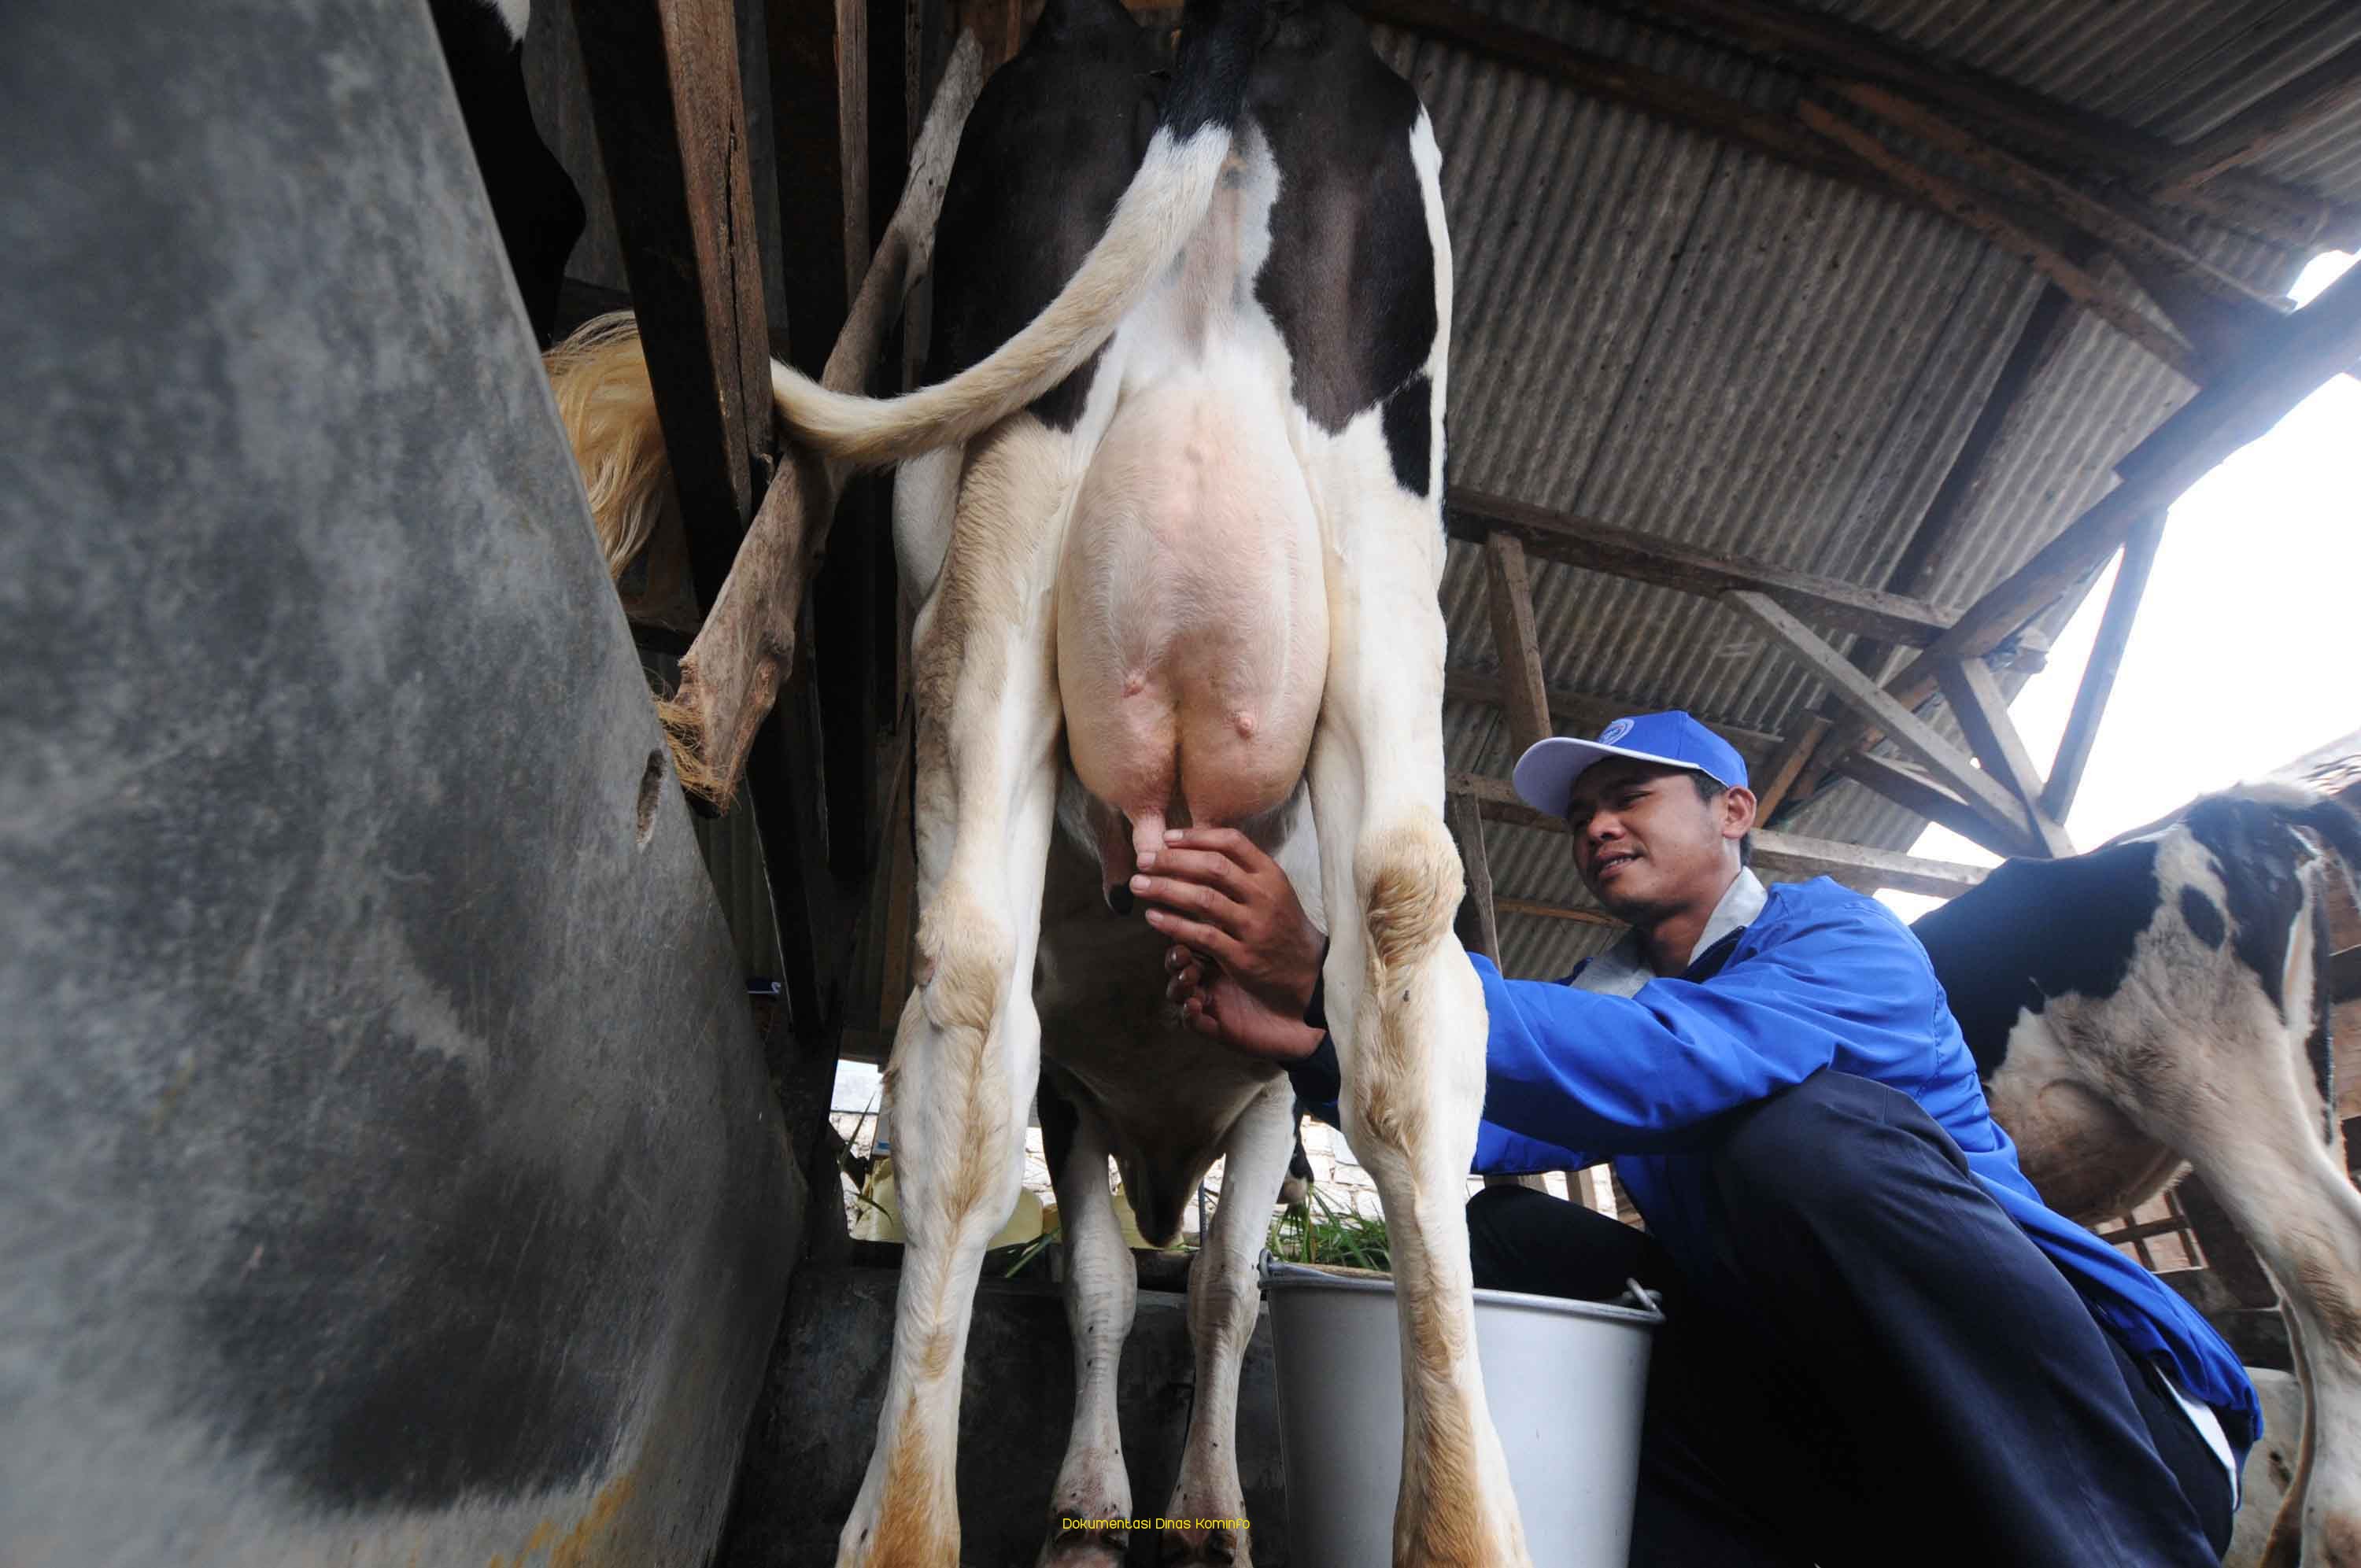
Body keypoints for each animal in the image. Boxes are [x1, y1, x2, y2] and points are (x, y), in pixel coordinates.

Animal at [541, 2, 1520, 1568]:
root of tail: (1212, 28)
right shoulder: (1160, 1088)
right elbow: (1128, 1283)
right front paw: (1125, 1504)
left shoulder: (1252, 1095)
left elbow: (1205, 1284)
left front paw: (1180, 1503)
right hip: (1291, 554)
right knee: (1377, 972)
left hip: (1060, 550)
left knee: (1003, 988)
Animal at [1917, 784, 2361, 1568]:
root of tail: (2229, 803)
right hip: (2304, 1075)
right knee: (2303, 1311)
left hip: (2202, 1080)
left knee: (2330, 1271)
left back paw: (2333, 1534)